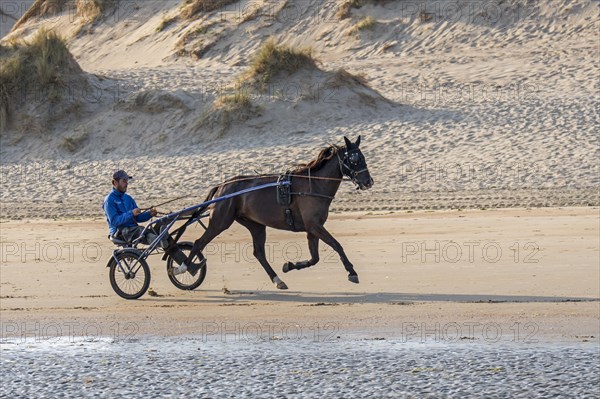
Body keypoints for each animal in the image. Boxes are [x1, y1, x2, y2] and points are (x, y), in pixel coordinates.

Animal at [186, 136, 376, 290]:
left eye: (363, 157)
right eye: (355, 159)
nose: (368, 182)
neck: (313, 185)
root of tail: (222, 186)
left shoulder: (312, 228)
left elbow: (314, 258)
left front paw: (289, 265)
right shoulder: (314, 226)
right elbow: (337, 245)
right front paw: (352, 272)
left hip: (255, 225)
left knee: (259, 253)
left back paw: (278, 280)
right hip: (220, 222)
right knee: (198, 243)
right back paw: (186, 267)